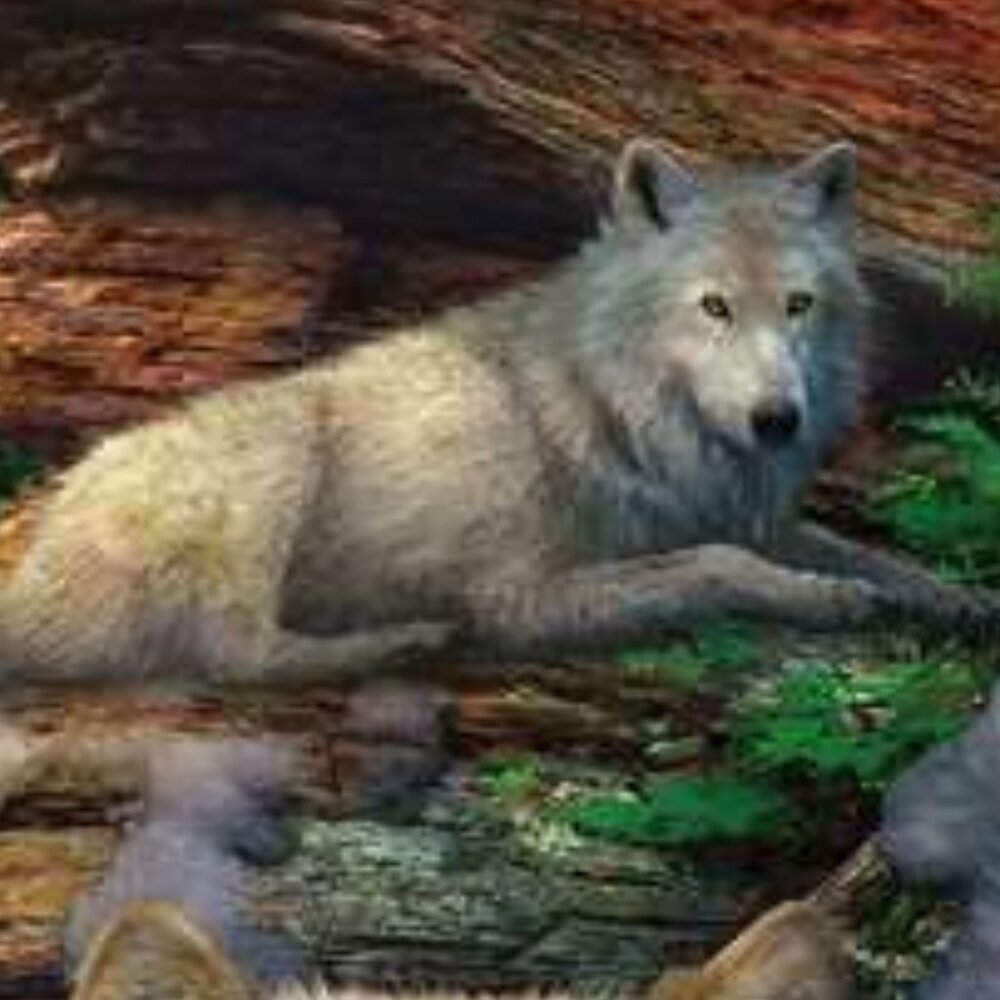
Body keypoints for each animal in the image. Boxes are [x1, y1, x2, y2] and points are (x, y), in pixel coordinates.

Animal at [0, 137, 996, 693]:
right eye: (714, 307)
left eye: (798, 306)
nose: (777, 419)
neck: (617, 409)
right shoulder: (522, 596)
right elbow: (717, 565)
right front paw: (823, 601)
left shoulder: (754, 515)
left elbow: (869, 555)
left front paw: (956, 599)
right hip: (272, 458)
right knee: (230, 655)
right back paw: (403, 642)